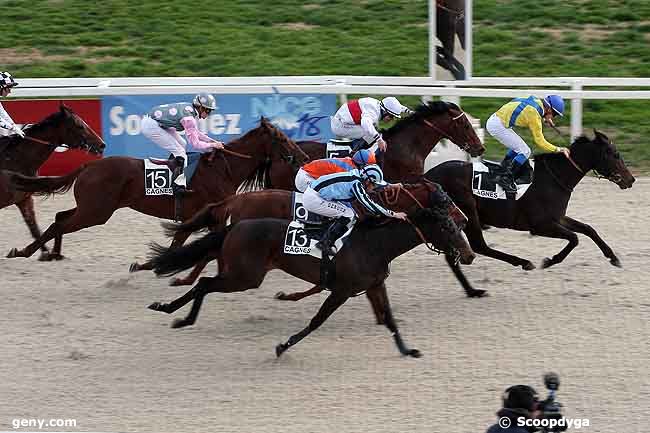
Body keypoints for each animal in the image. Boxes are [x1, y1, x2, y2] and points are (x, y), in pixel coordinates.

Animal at [0, 104, 105, 260]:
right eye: (79, 125)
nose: (102, 144)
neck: (14, 158)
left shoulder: (24, 199)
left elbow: (34, 227)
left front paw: (47, 253)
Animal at [5, 117, 308, 260]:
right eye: (283, 139)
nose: (304, 157)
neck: (223, 169)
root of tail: (89, 165)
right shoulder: (212, 217)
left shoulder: (196, 218)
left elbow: (177, 242)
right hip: (97, 212)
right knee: (60, 223)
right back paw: (27, 252)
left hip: (91, 208)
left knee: (60, 218)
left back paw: (51, 253)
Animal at [146, 191, 470, 356]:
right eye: (448, 228)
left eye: (458, 225)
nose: (468, 255)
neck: (375, 244)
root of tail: (234, 225)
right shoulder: (341, 290)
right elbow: (316, 321)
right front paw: (283, 346)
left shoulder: (375, 285)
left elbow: (390, 319)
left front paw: (406, 350)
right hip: (245, 277)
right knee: (204, 283)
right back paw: (176, 314)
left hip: (242, 275)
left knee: (204, 283)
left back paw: (172, 311)